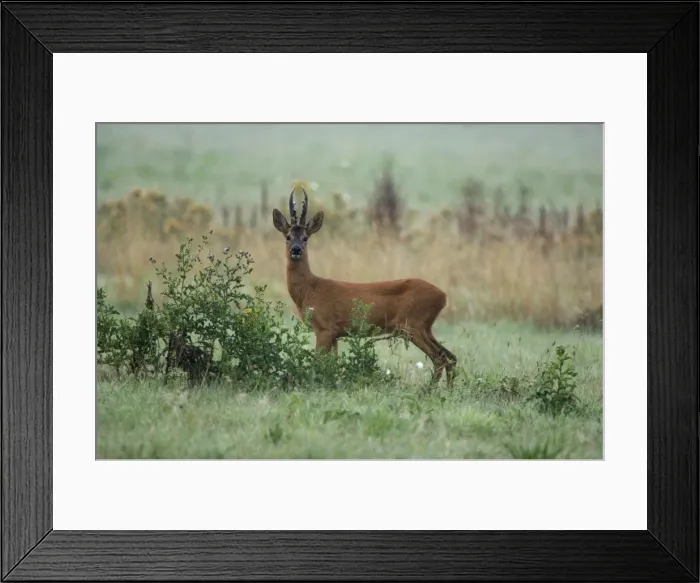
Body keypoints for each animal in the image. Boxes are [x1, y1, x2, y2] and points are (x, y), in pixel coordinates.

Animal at [272, 187, 457, 386]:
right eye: (288, 236)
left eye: (306, 238)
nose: (296, 249)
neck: (309, 290)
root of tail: (443, 296)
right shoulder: (335, 333)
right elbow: (332, 364)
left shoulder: (324, 328)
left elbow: (318, 362)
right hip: (425, 326)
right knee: (450, 356)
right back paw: (447, 389)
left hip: (412, 324)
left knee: (440, 357)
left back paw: (429, 389)